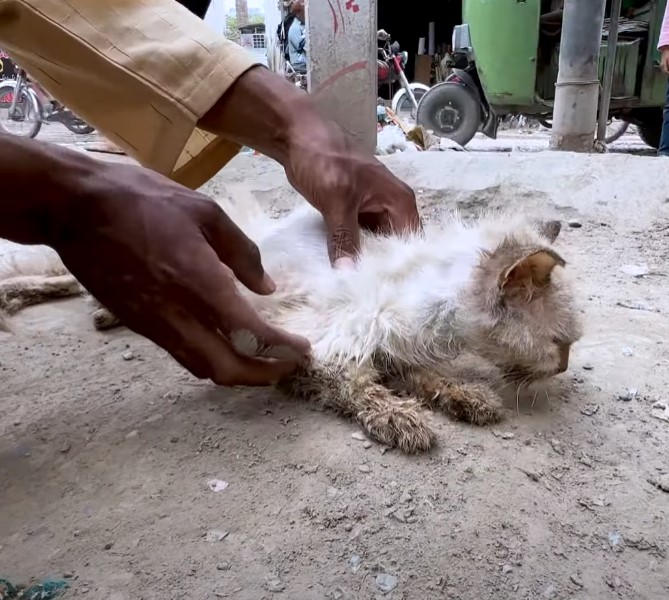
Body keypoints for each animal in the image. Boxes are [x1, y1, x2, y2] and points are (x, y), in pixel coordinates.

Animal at [0, 195, 580, 452]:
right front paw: (401, 420)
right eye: (561, 343)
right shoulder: (316, 348)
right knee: (76, 275)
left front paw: (467, 397)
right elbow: (357, 389)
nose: (565, 367)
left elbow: (427, 378)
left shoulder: (391, 349)